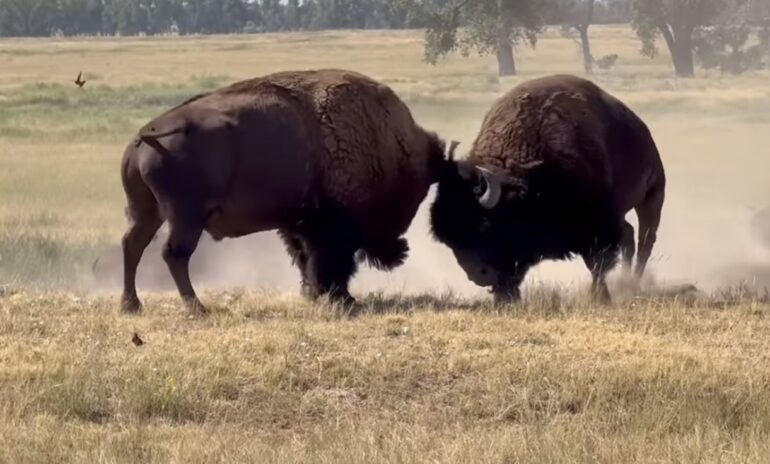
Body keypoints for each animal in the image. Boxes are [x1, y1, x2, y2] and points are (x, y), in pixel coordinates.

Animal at [120, 69, 447, 313]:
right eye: (410, 196)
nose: (397, 252)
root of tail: (142, 139)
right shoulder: (330, 229)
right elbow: (329, 262)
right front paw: (340, 298)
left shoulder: (298, 225)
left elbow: (305, 259)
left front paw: (314, 294)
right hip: (186, 217)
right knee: (174, 254)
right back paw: (196, 307)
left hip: (150, 213)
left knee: (133, 245)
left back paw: (132, 305)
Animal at [430, 74, 666, 303]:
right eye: (449, 240)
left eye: (484, 225)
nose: (478, 274)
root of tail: (642, 129)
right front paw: (505, 299)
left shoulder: (596, 228)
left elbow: (597, 264)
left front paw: (600, 297)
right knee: (629, 235)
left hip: (653, 196)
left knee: (645, 239)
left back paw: (634, 282)